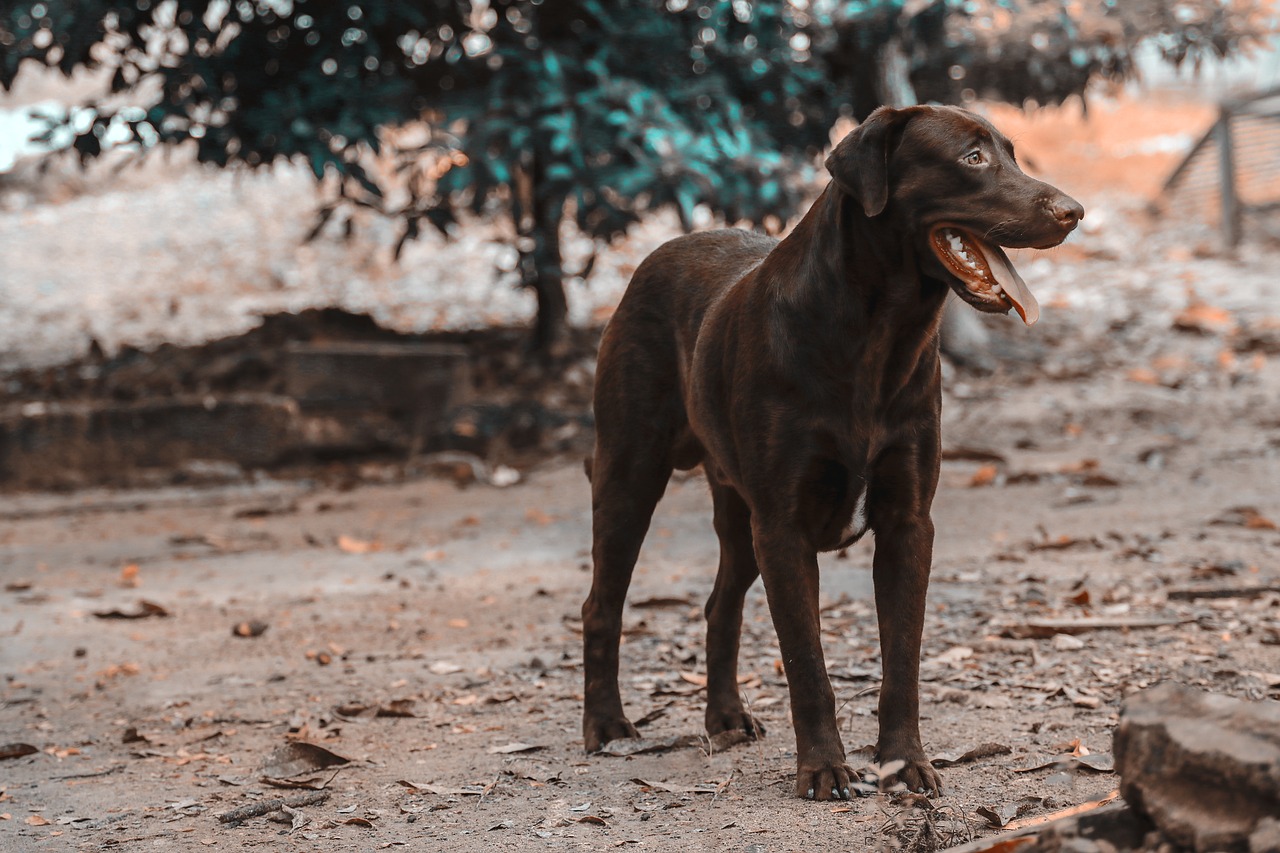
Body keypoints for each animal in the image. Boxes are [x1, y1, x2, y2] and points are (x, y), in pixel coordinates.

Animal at [583, 106, 1080, 799]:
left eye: (1011, 152)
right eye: (973, 158)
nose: (1074, 211)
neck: (877, 334)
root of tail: (659, 254)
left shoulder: (907, 522)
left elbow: (902, 657)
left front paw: (904, 762)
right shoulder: (784, 527)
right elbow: (807, 664)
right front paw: (823, 769)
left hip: (737, 513)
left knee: (719, 605)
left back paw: (725, 717)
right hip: (631, 473)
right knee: (601, 604)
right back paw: (606, 726)